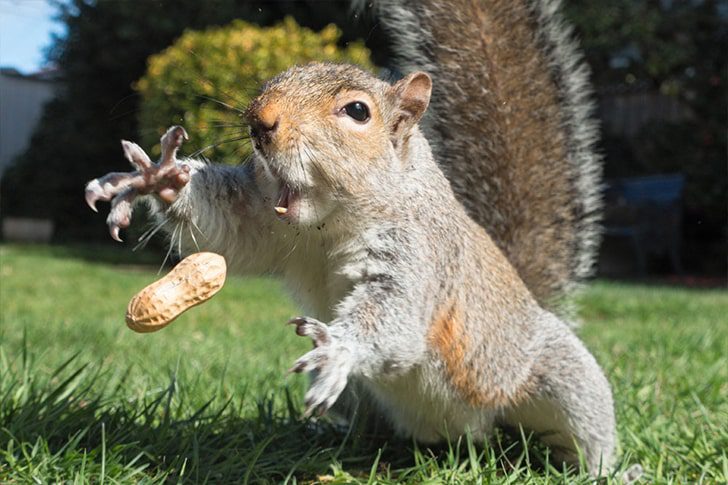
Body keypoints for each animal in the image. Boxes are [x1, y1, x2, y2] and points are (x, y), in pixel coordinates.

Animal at [84, 0, 617, 475]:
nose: (260, 121)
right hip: (363, 399)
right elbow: (225, 229)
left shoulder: (419, 255)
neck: (329, 224)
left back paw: (604, 469)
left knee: (586, 431)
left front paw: (339, 345)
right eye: (271, 81)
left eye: (357, 111)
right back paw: (328, 436)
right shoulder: (260, 219)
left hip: (556, 380)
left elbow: (396, 317)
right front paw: (159, 178)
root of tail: (462, 437)